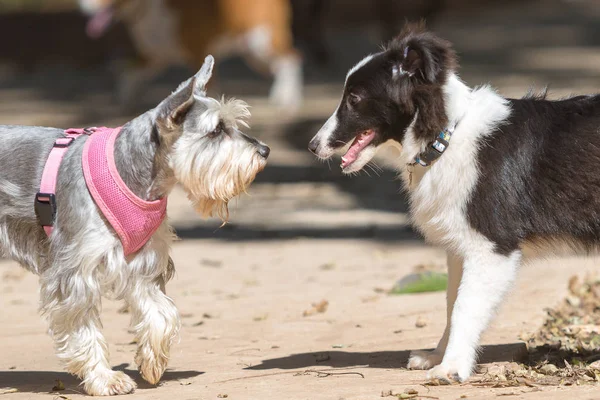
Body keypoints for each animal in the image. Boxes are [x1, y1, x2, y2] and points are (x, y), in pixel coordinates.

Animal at [80, 0, 302, 109]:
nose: (83, 7)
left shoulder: (200, 52)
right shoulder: (154, 56)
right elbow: (129, 75)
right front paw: (124, 99)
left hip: (260, 42)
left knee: (292, 58)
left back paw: (286, 95)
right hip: (252, 52)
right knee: (283, 63)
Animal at [310, 23, 600, 382]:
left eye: (354, 99)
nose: (312, 146)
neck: (445, 137)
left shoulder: (491, 247)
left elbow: (464, 307)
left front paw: (451, 367)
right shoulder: (461, 249)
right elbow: (451, 304)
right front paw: (437, 356)